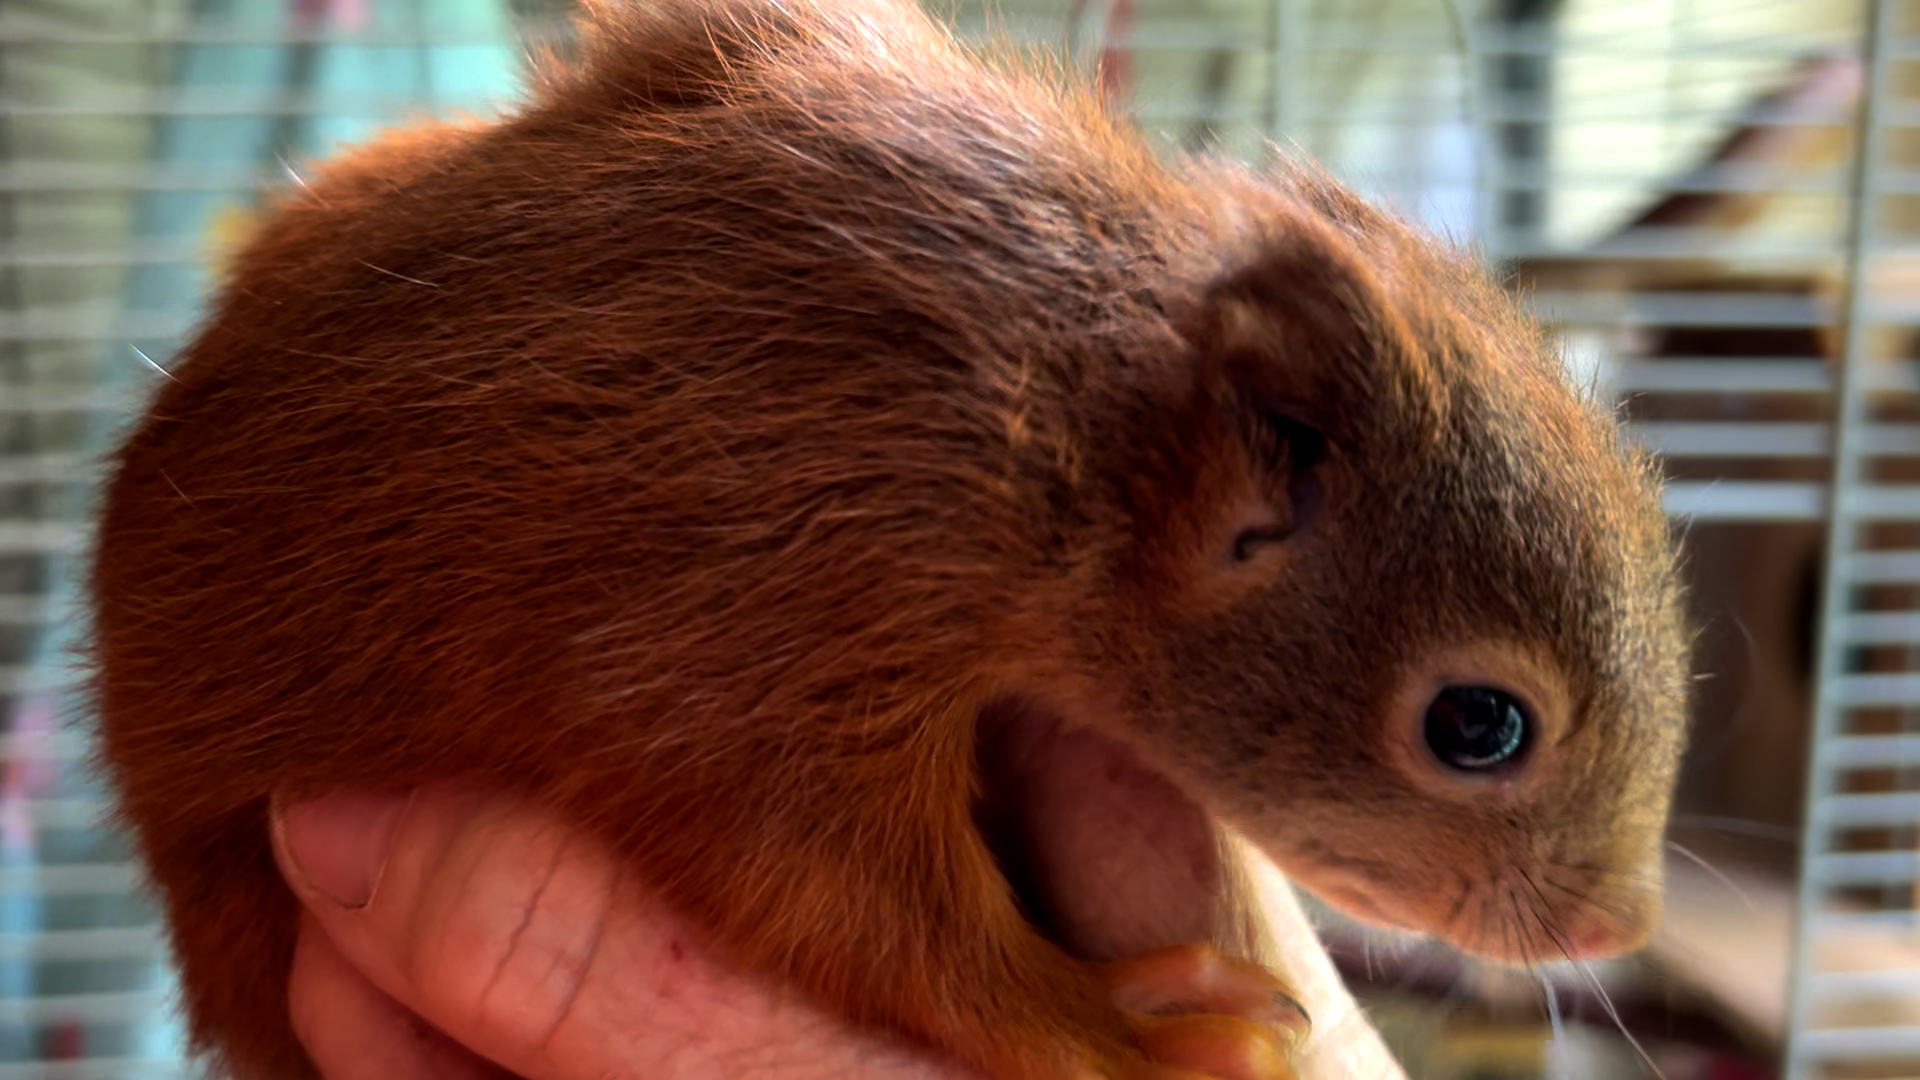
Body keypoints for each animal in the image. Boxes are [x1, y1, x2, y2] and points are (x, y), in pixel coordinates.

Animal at [86, 0, 1693, 1077]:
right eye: (1479, 725)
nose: (1615, 927)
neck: (1067, 431)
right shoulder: (770, 594)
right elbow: (841, 898)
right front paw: (1126, 1032)